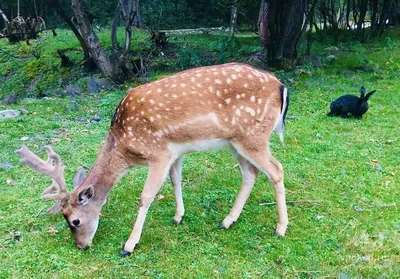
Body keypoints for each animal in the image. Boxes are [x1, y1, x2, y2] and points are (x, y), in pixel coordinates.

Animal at [15, 63, 290, 258]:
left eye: (75, 221)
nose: (81, 246)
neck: (124, 144)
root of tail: (281, 86)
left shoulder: (159, 153)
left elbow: (146, 196)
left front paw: (128, 245)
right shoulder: (175, 152)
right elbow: (175, 181)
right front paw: (178, 216)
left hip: (252, 136)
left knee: (276, 169)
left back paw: (281, 228)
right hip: (234, 142)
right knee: (250, 173)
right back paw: (227, 221)